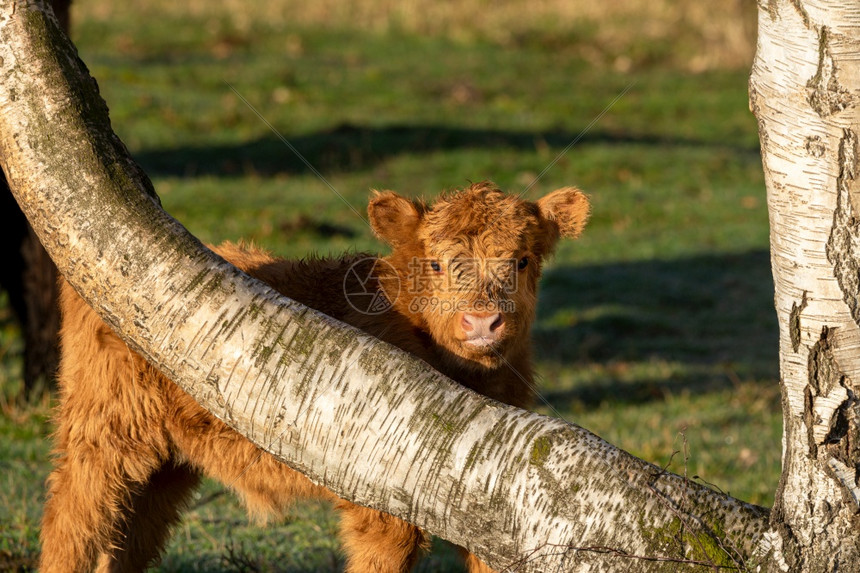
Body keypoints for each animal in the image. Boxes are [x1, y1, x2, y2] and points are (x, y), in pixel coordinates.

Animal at [42, 181, 592, 568]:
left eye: (522, 260)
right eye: (435, 264)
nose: (481, 321)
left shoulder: (491, 506)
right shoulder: (381, 506)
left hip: (167, 462)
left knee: (129, 541)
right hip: (100, 435)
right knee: (72, 528)